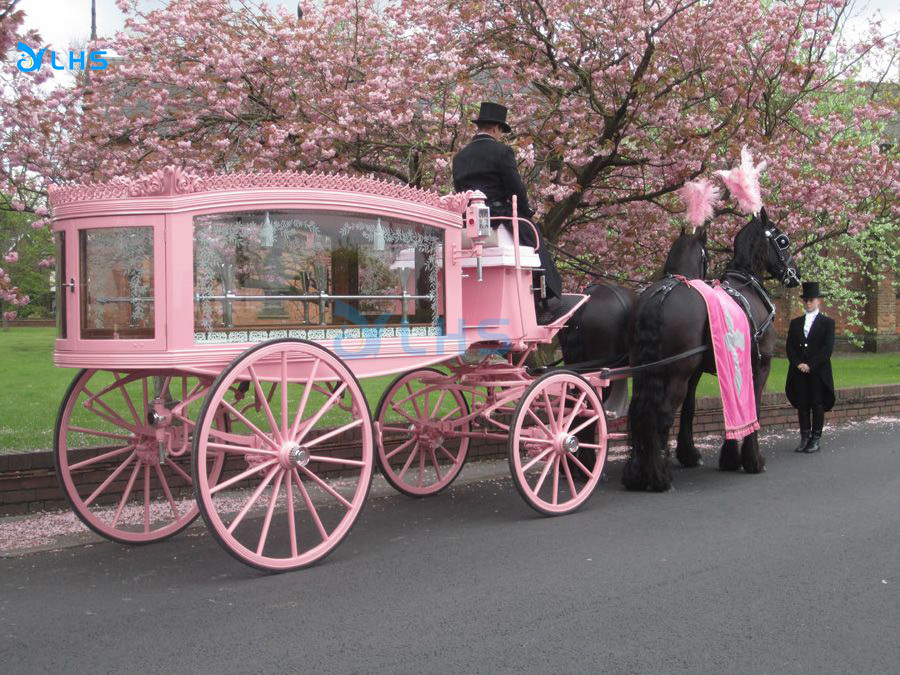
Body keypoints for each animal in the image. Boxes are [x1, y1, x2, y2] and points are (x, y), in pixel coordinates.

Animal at [624, 211, 800, 492]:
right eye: (783, 240)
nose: (795, 274)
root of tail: (661, 295)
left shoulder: (709, 369)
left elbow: (703, 406)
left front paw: (717, 456)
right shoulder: (761, 365)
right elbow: (753, 406)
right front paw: (752, 459)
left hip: (644, 371)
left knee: (638, 412)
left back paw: (637, 473)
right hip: (675, 374)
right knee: (661, 414)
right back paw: (658, 476)